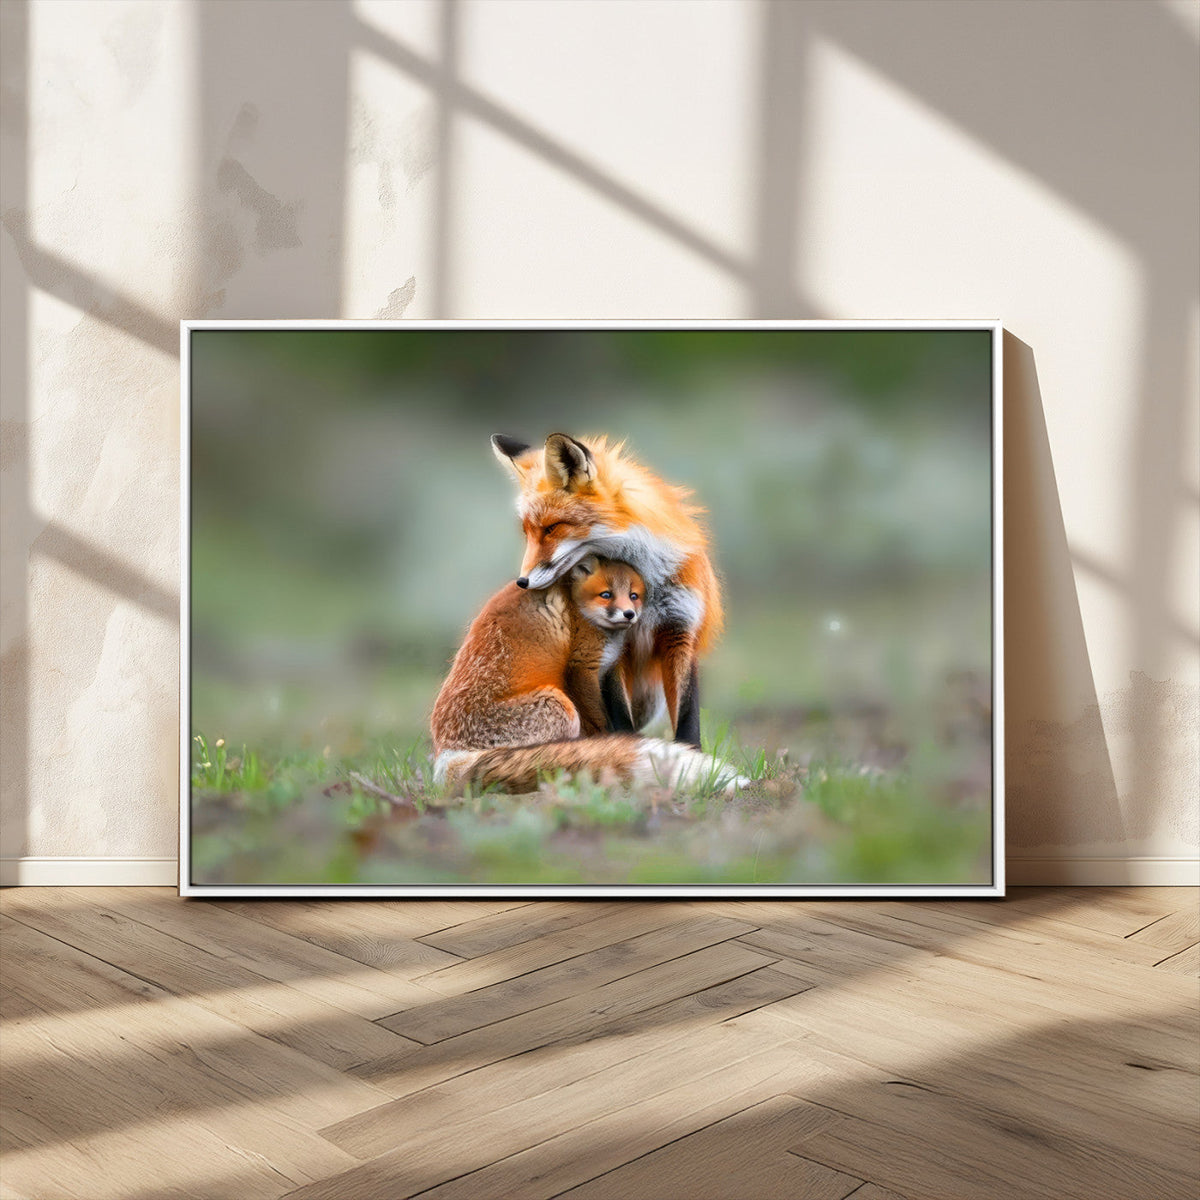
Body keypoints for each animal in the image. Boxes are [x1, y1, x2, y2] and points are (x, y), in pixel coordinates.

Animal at [432, 556, 740, 793]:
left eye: (634, 595)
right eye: (606, 595)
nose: (629, 614)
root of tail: (447, 754)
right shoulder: (582, 667)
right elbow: (601, 720)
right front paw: (613, 745)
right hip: (560, 706)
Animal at [491, 432, 722, 748]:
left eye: (552, 528)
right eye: (527, 532)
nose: (522, 582)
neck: (646, 585)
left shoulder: (680, 630)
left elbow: (687, 717)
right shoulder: (613, 645)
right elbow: (619, 715)